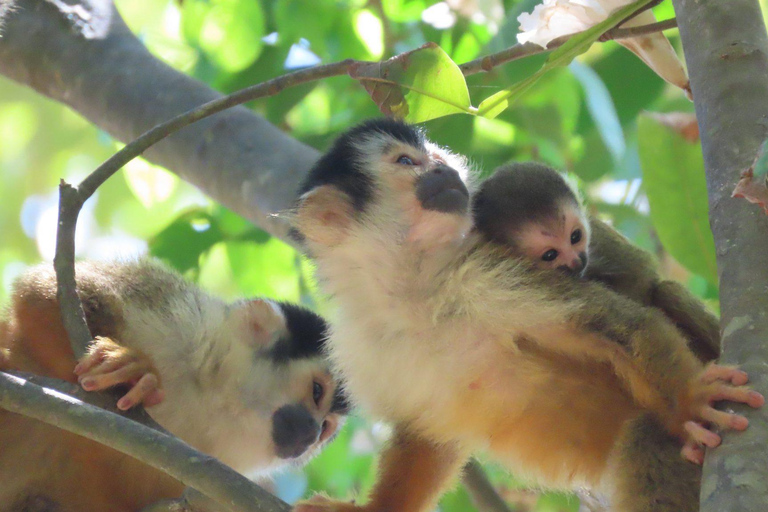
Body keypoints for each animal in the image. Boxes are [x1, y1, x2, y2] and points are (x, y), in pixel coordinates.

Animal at [0, 258, 348, 512]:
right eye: (317, 391)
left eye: (326, 427)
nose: (312, 432)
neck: (211, 402)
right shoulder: (186, 320)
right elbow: (43, 292)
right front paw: (129, 372)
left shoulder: (217, 483)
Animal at [472, 162, 721, 364]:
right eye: (550, 255)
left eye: (575, 236)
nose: (576, 260)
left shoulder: (598, 237)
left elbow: (641, 269)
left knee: (666, 290)